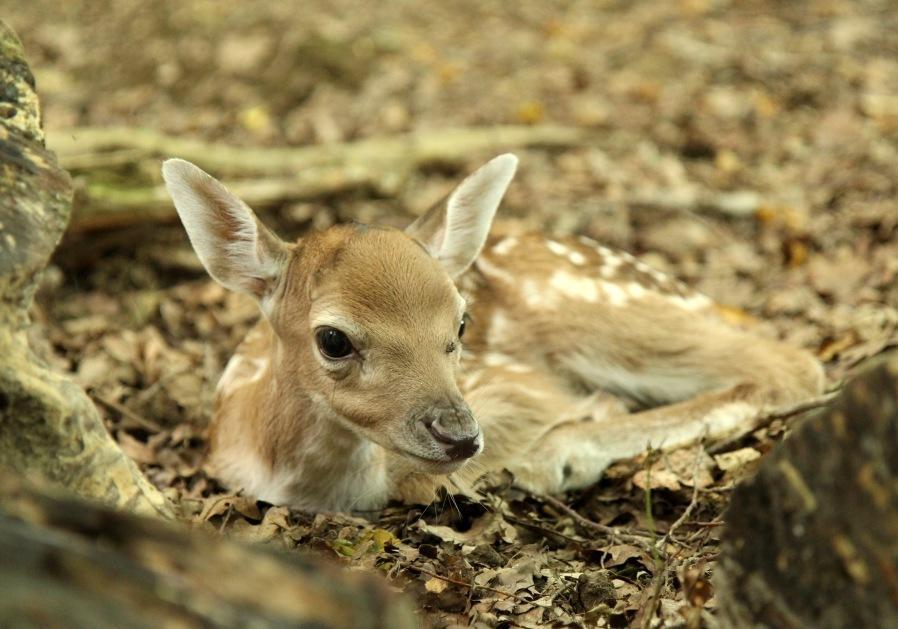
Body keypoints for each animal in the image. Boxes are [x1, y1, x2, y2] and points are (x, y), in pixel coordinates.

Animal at [163, 153, 824, 510]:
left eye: (462, 321)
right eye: (333, 339)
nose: (460, 435)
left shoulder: (515, 385)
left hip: (595, 311)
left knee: (788, 364)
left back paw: (559, 456)